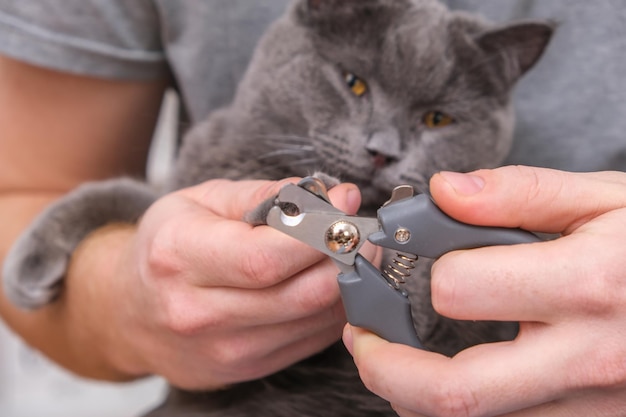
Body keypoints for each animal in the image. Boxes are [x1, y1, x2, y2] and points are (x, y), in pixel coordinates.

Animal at [4, 0, 552, 416]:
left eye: (437, 119)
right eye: (353, 82)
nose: (383, 151)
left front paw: (293, 196)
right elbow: (127, 195)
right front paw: (30, 261)